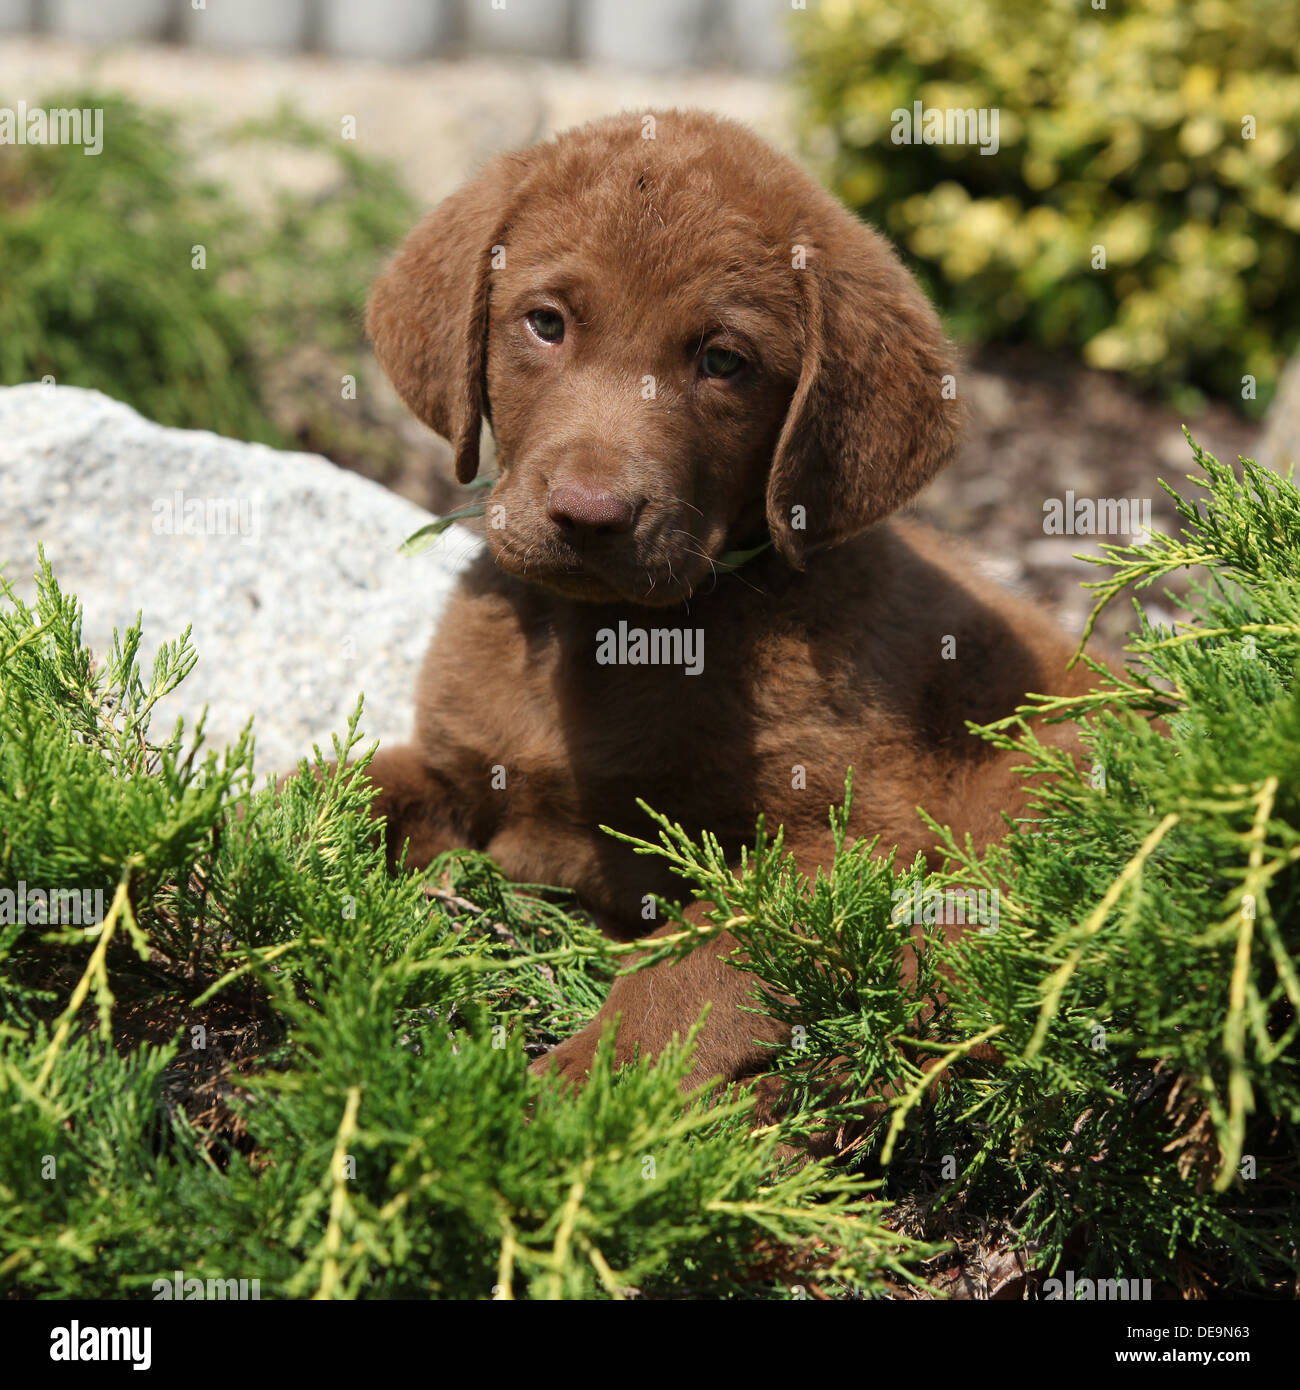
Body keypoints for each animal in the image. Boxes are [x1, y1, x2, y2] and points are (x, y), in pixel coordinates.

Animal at [358, 105, 1106, 1084]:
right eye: (545, 324)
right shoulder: (458, 766)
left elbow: (699, 960)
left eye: (723, 360)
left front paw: (578, 1088)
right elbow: (349, 785)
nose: (589, 514)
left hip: (1040, 769)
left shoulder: (861, 835)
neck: (615, 638)